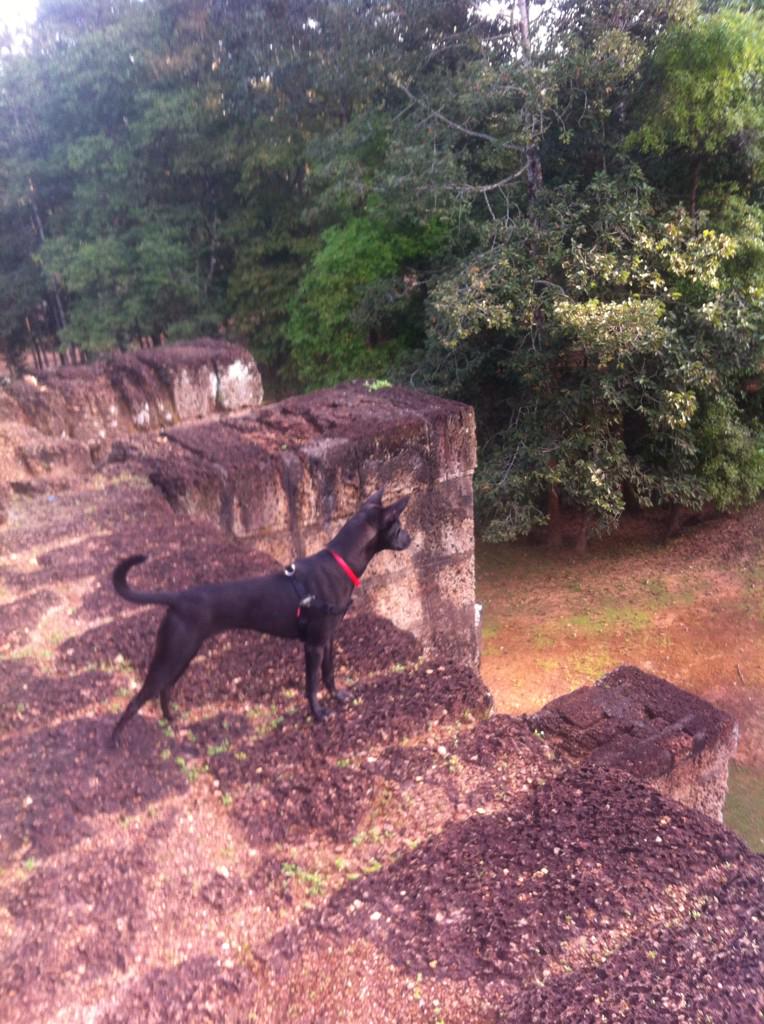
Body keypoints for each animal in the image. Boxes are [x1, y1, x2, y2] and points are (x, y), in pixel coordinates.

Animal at [109, 489, 411, 745]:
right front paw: (318, 713)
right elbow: (312, 683)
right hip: (172, 654)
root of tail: (176, 599)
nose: (410, 539)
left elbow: (329, 673)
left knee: (165, 690)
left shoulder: (328, 639)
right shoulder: (312, 646)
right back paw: (114, 741)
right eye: (397, 526)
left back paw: (172, 721)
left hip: (183, 654)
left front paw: (338, 696)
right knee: (140, 698)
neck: (340, 562)